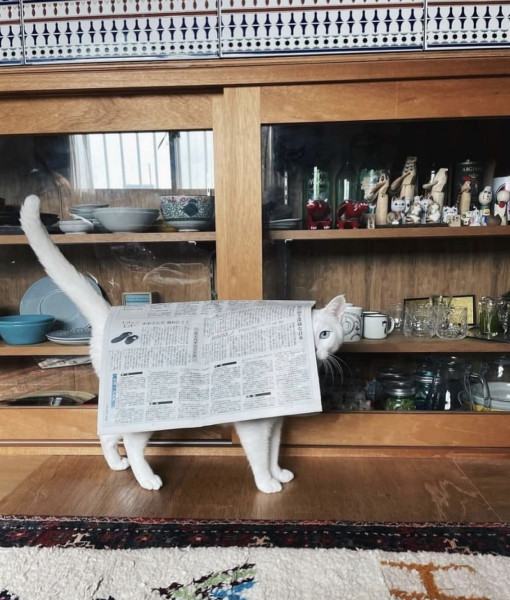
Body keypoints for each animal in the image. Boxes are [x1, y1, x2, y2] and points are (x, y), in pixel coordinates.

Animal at [20, 194, 346, 493]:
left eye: (324, 335)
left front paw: (278, 473)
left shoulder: (276, 420)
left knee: (108, 436)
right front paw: (267, 483)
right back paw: (147, 479)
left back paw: (116, 464)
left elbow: (274, 449)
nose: (315, 349)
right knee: (132, 445)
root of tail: (109, 317)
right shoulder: (254, 424)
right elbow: (259, 455)